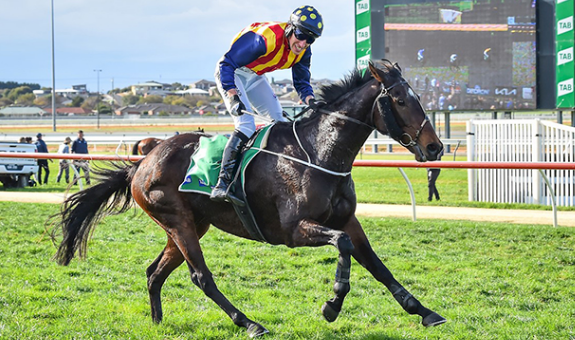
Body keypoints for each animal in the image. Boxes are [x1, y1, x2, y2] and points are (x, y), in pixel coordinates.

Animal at [53, 61, 446, 338]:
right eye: (400, 101)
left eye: (418, 99)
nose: (435, 147)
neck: (320, 152)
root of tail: (144, 160)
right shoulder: (294, 230)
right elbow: (344, 246)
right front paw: (332, 304)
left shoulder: (347, 219)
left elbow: (377, 264)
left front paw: (423, 311)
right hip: (178, 223)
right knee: (201, 277)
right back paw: (250, 323)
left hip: (188, 226)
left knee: (154, 273)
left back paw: (157, 322)